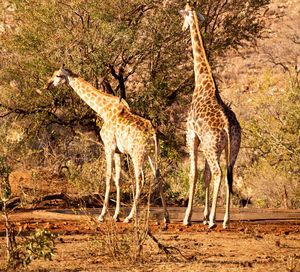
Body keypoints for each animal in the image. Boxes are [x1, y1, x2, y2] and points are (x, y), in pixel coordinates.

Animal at [42, 65, 169, 223]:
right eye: (53, 73)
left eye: (58, 76)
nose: (46, 85)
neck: (103, 110)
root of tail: (153, 133)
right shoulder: (118, 151)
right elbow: (118, 179)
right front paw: (115, 215)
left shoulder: (108, 146)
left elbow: (108, 177)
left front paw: (102, 215)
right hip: (153, 154)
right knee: (158, 175)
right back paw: (166, 217)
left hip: (137, 155)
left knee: (141, 179)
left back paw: (129, 217)